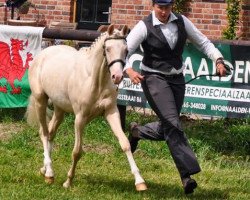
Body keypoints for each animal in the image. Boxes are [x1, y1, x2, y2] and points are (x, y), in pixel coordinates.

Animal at [25, 24, 146, 191]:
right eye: (107, 48)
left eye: (126, 50)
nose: (117, 77)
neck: (95, 80)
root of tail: (43, 53)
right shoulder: (80, 118)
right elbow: (77, 152)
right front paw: (68, 181)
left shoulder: (111, 113)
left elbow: (125, 144)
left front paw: (140, 181)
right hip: (40, 100)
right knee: (43, 133)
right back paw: (49, 173)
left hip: (59, 109)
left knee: (50, 133)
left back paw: (44, 169)